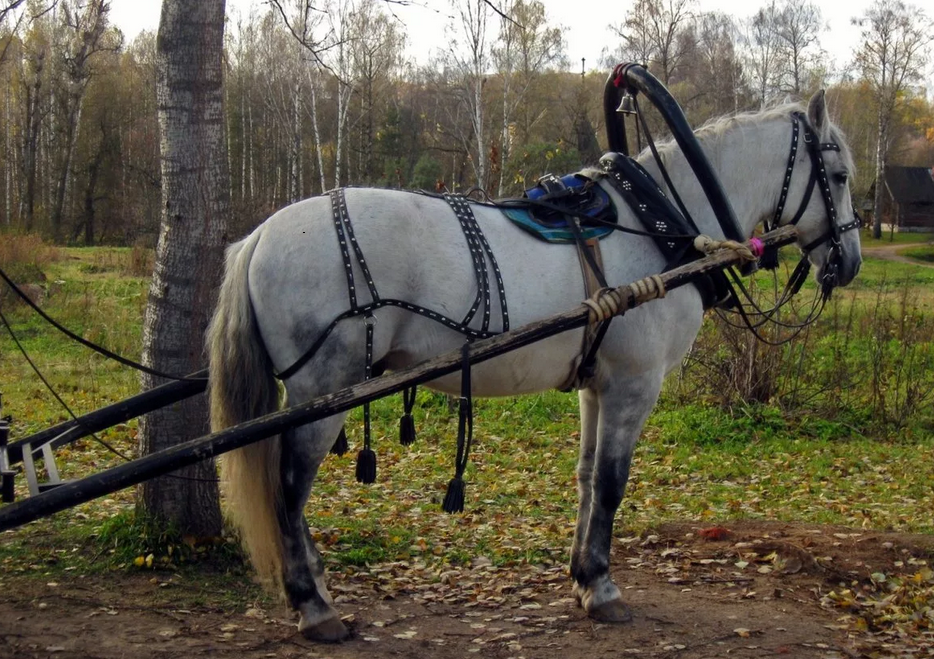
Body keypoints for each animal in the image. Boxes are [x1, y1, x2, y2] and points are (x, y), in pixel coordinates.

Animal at [210, 90, 864, 640]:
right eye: (838, 177)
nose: (850, 262)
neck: (658, 225)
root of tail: (258, 237)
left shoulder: (596, 385)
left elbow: (586, 476)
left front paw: (581, 576)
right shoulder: (635, 383)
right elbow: (612, 482)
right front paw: (603, 588)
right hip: (321, 389)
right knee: (288, 487)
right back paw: (313, 605)